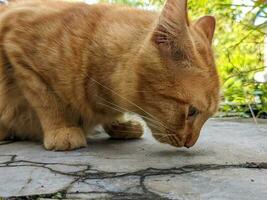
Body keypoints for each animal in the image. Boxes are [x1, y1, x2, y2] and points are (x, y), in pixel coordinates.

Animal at [0, 0, 220, 150]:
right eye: (191, 111)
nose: (190, 144)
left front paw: (119, 124)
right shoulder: (16, 47)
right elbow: (45, 99)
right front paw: (62, 129)